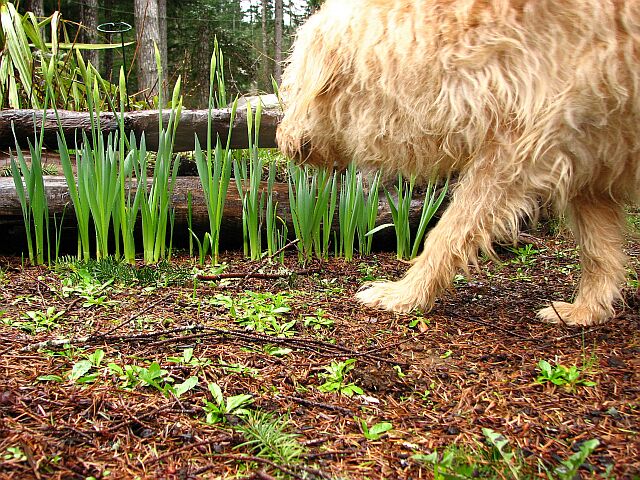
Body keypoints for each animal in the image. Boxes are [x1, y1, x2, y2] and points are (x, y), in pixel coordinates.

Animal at [276, 0, 640, 326]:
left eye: (294, 86)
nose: (281, 139)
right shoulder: (587, 152)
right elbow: (597, 247)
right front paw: (587, 310)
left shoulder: (519, 149)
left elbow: (448, 231)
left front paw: (405, 294)